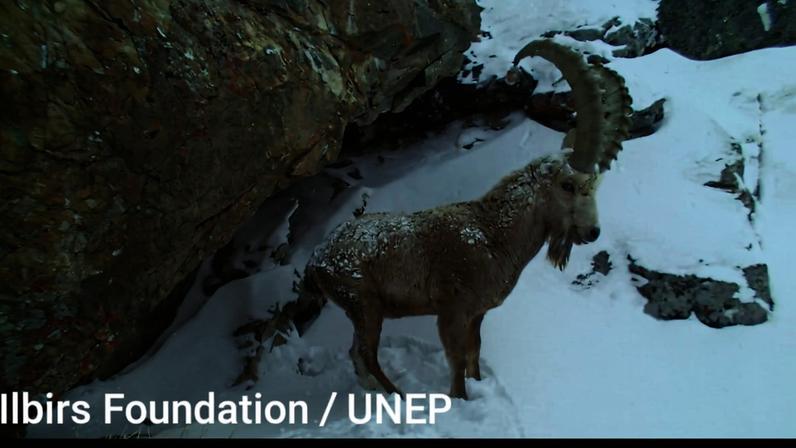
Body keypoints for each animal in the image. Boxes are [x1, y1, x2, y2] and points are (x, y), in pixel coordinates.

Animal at [301, 40, 633, 399]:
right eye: (567, 185)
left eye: (596, 186)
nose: (592, 231)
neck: (494, 233)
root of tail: (317, 258)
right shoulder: (453, 311)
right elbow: (457, 358)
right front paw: (459, 398)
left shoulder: (477, 313)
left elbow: (474, 351)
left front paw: (478, 384)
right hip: (365, 304)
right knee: (366, 353)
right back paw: (397, 395)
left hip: (360, 310)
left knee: (357, 354)